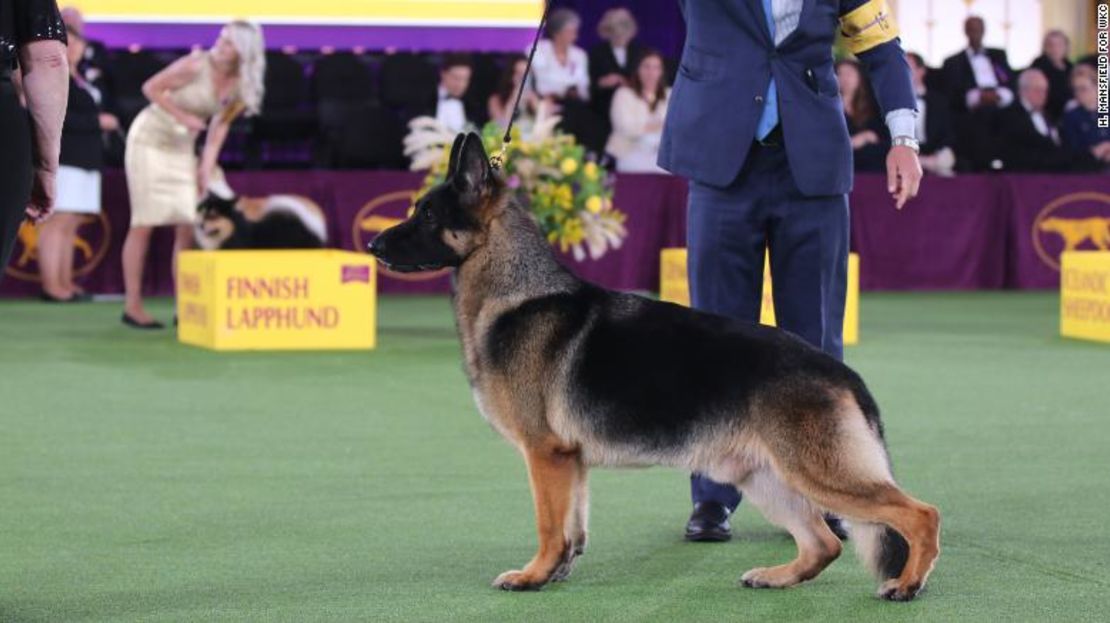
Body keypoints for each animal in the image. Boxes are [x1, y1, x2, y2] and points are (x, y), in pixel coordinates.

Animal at [368, 133, 941, 599]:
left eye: (426, 217)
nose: (371, 244)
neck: (515, 289)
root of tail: (845, 374)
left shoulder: (544, 454)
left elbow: (549, 526)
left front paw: (533, 576)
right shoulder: (569, 461)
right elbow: (573, 527)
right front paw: (558, 573)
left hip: (818, 473)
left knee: (919, 515)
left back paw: (907, 584)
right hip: (766, 477)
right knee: (823, 544)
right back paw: (777, 576)